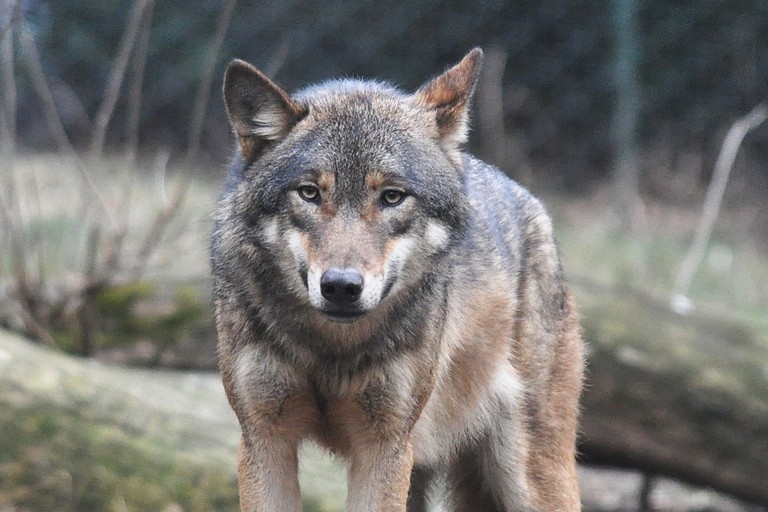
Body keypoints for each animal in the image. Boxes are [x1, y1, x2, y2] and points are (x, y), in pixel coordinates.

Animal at [211, 48, 584, 512]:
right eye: (310, 193)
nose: (341, 286)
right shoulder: (265, 438)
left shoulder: (385, 446)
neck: (331, 350)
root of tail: (535, 206)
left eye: (392, 197)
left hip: (531, 478)